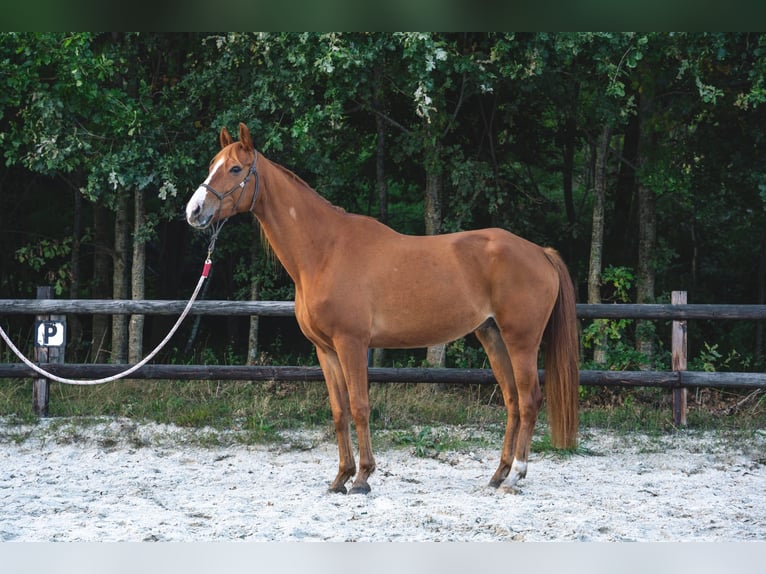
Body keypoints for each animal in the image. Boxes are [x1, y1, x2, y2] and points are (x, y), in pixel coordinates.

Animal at [186, 123, 580, 494]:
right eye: (211, 165)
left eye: (236, 169)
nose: (194, 211)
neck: (324, 251)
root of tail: (540, 252)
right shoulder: (326, 350)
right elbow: (340, 411)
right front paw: (340, 477)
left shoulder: (352, 344)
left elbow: (360, 407)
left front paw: (362, 477)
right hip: (492, 335)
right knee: (512, 401)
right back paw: (498, 475)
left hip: (521, 341)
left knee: (529, 400)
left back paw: (516, 477)